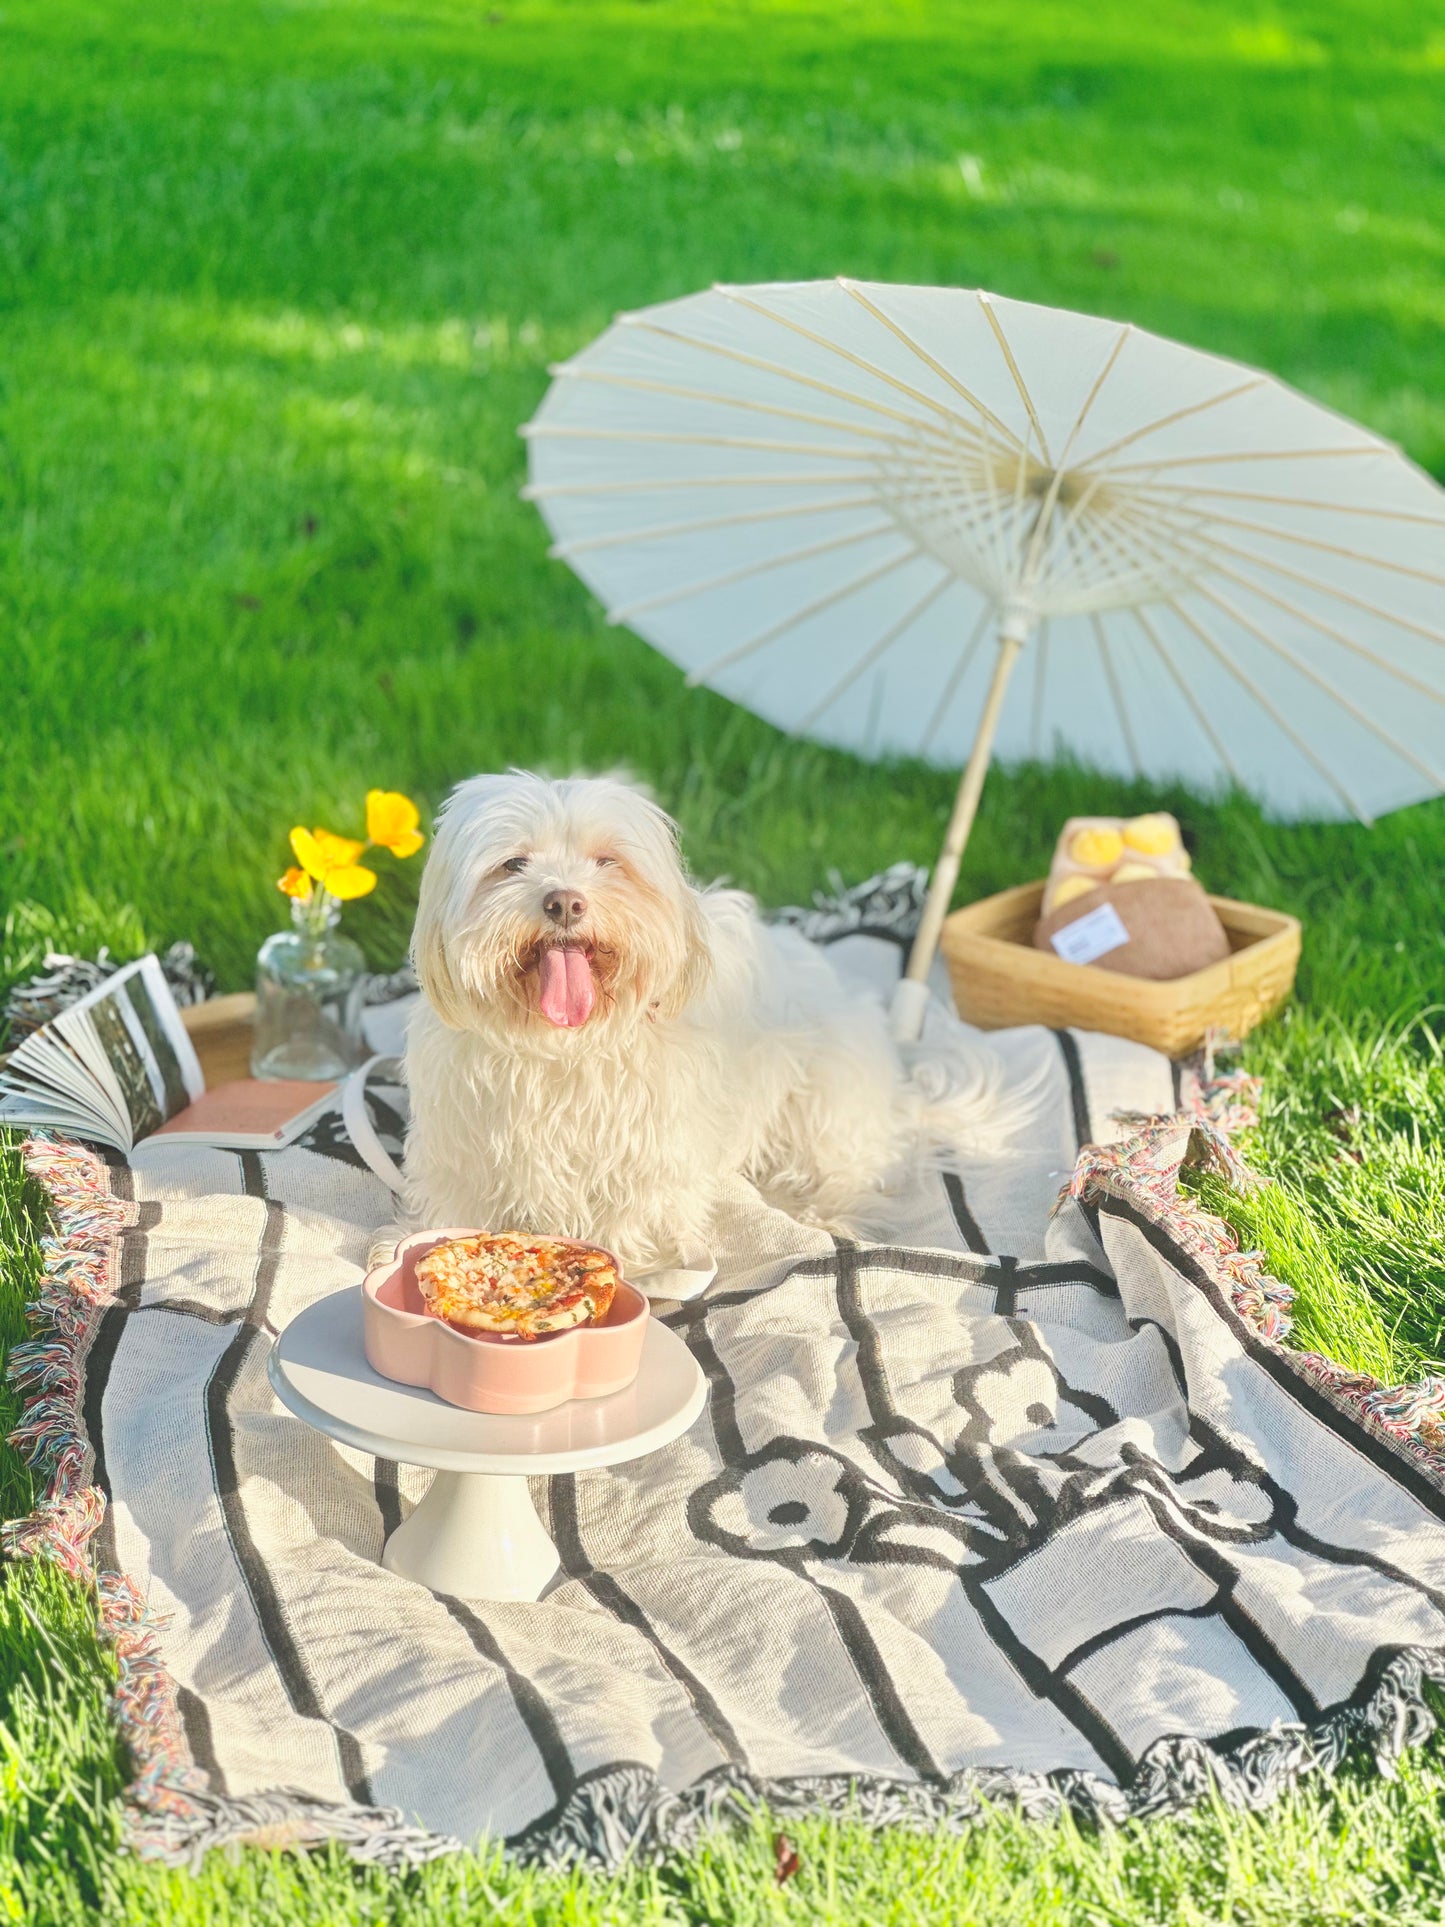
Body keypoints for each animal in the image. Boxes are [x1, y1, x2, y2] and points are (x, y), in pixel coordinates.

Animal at [402, 766, 1001, 1279]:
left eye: (608, 861)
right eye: (513, 864)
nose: (564, 902)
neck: (566, 1046)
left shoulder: (649, 1149)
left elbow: (630, 1211)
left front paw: (629, 1266)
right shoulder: (468, 1143)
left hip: (826, 1096)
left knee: (847, 1168)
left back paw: (824, 1215)